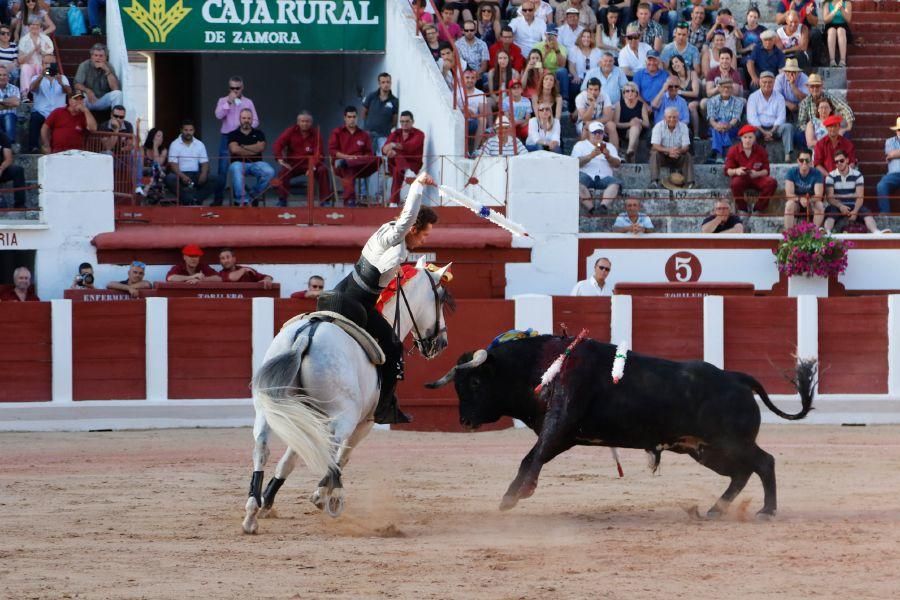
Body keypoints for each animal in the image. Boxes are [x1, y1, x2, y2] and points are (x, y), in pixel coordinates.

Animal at [243, 260, 454, 532]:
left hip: (269, 407)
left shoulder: (304, 417)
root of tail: (305, 337)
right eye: (441, 297)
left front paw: (268, 502)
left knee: (262, 446)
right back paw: (330, 496)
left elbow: (291, 456)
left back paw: (252, 512)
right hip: (344, 417)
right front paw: (324, 495)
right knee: (332, 451)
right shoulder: (364, 423)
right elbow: (342, 455)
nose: (441, 342)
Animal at [428, 336, 816, 516]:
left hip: (727, 444)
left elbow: (531, 457)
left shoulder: (561, 422)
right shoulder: (564, 434)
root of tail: (736, 378)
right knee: (742, 473)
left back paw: (766, 511)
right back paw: (716, 510)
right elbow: (534, 456)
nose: (465, 420)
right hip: (706, 450)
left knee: (764, 463)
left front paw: (513, 496)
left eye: (475, 382)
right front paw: (516, 494)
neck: (539, 367)